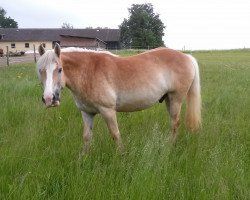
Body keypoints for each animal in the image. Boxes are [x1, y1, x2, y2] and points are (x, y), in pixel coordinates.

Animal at [36, 43, 201, 153]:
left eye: (59, 69)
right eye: (40, 70)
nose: (49, 99)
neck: (89, 71)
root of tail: (186, 56)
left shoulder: (107, 111)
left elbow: (115, 134)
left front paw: (121, 156)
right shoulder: (87, 113)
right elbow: (87, 137)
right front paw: (83, 159)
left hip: (176, 99)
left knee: (175, 123)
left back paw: (169, 147)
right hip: (168, 99)